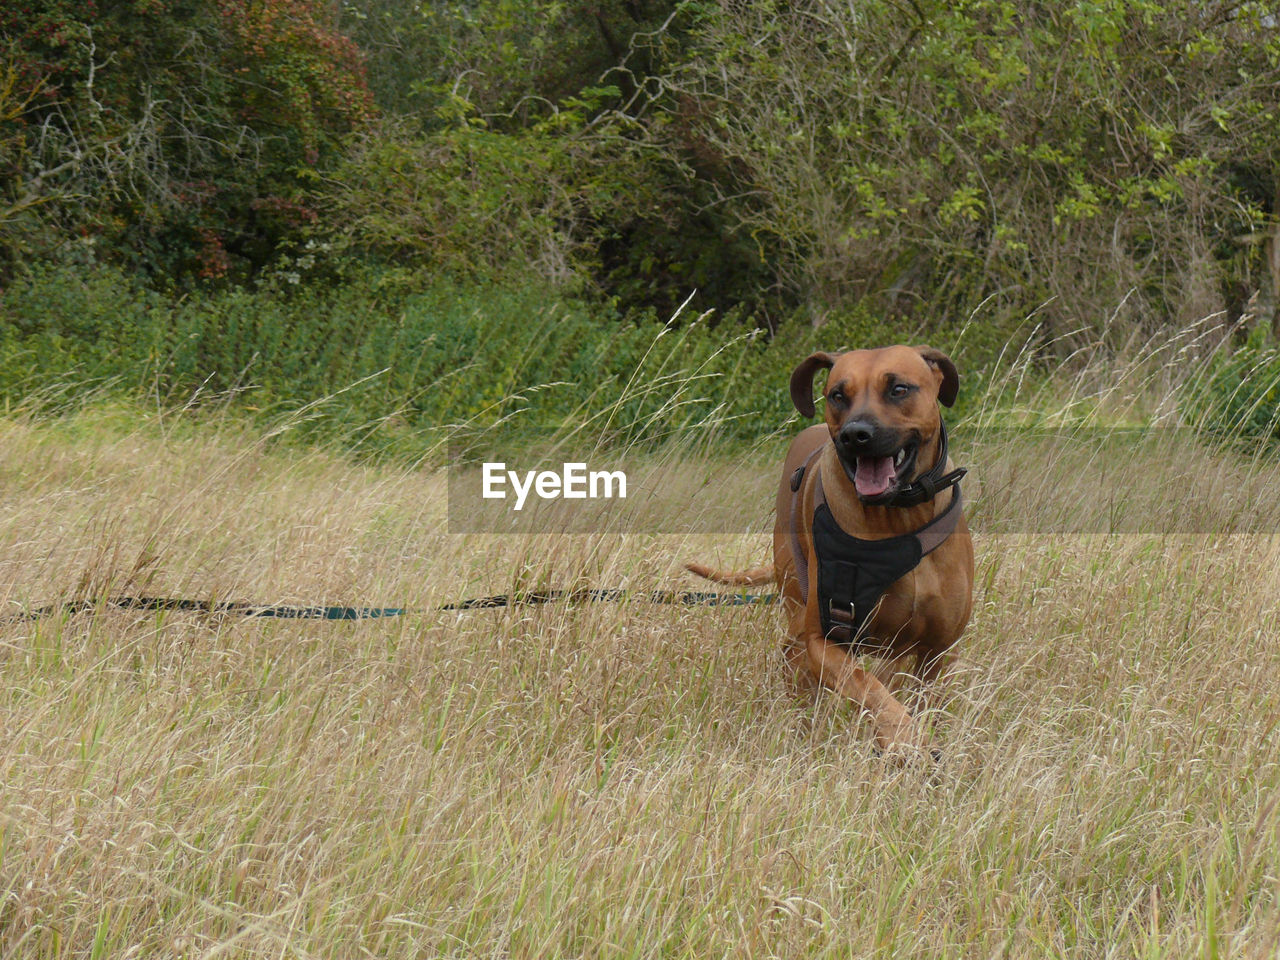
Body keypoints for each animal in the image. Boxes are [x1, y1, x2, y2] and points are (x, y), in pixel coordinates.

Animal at [691, 345, 967, 757]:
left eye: (898, 389)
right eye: (838, 395)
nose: (856, 435)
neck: (899, 521)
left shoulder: (936, 651)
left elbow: (919, 697)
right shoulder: (823, 640)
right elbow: (868, 685)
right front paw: (902, 737)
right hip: (795, 601)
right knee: (797, 665)